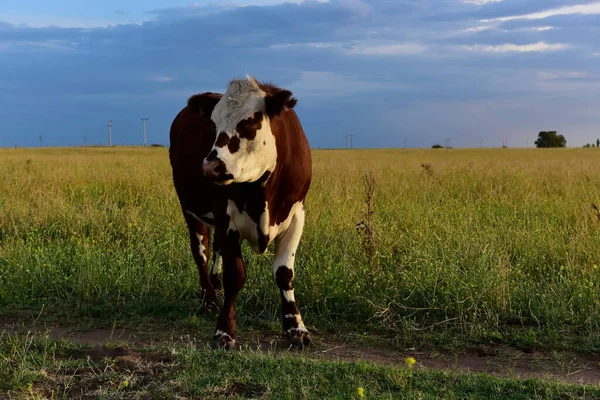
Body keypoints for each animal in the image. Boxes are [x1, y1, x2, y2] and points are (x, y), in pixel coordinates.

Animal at [168, 76, 312, 350]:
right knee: (201, 252)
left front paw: (295, 327)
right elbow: (235, 275)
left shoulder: (297, 215)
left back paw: (214, 285)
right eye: (214, 124)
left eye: (251, 122)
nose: (210, 167)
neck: (262, 191)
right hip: (190, 210)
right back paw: (209, 298)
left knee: (215, 250)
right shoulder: (227, 218)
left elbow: (284, 273)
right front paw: (224, 331)